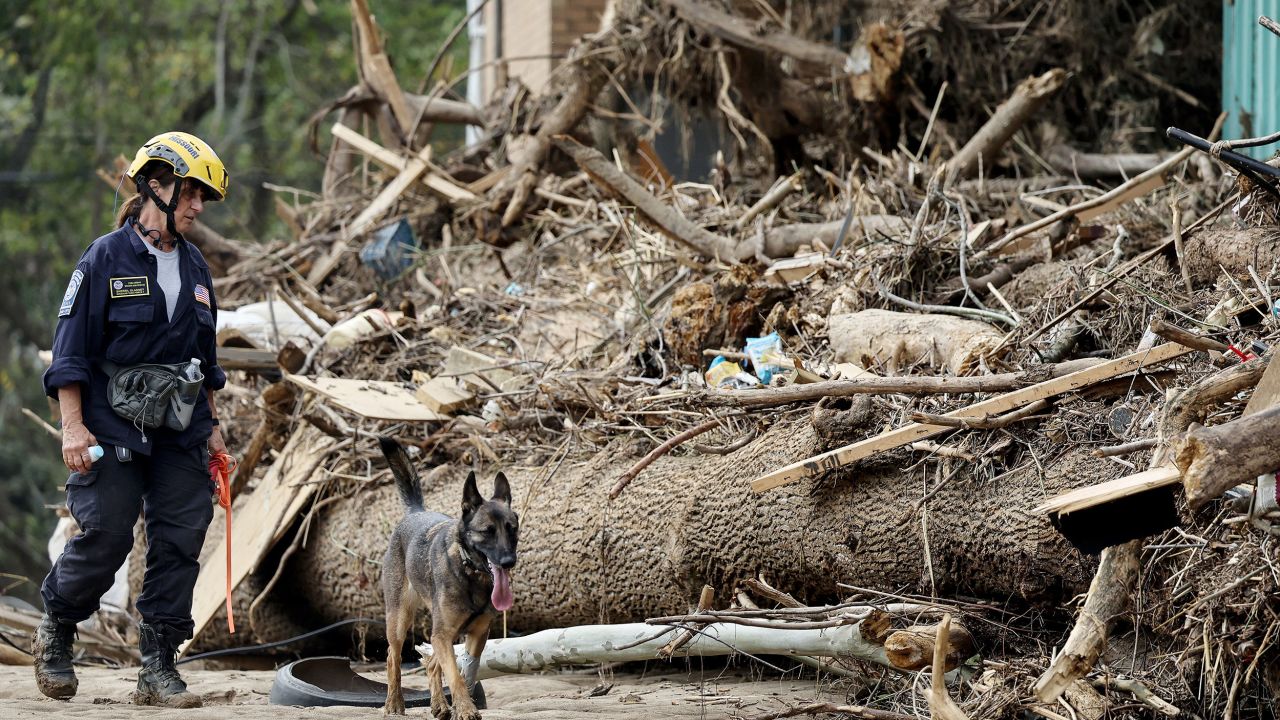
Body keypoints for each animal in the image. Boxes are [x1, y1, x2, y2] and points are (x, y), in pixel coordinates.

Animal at [376, 435, 517, 712]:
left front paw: (463, 705)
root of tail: (416, 511)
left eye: (512, 529)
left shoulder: (475, 635)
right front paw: (466, 710)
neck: (470, 573)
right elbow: (453, 674)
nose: (508, 562)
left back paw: (440, 706)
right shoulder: (441, 634)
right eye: (487, 531)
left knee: (431, 664)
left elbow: (464, 671)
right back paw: (395, 703)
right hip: (399, 619)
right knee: (392, 657)